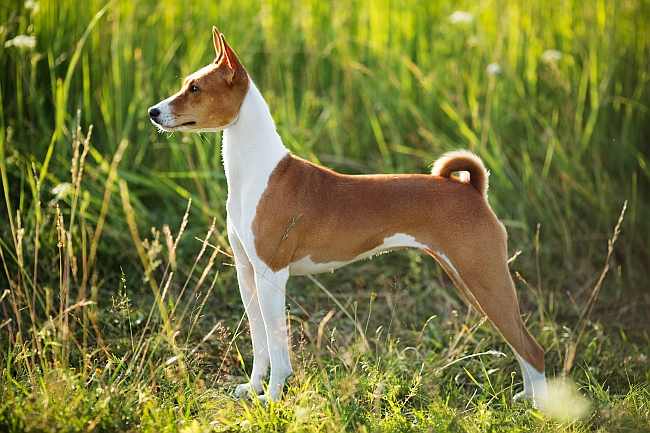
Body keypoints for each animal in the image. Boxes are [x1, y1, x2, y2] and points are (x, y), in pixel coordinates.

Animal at [148, 27, 548, 408]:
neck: (255, 172)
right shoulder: (248, 273)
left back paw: (540, 409)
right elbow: (260, 342)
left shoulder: (272, 274)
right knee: (519, 344)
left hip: (483, 277)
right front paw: (253, 388)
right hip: (472, 281)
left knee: (532, 348)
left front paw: (273, 397)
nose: (152, 111)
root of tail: (472, 190)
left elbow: (278, 347)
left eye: (195, 88)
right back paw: (526, 399)